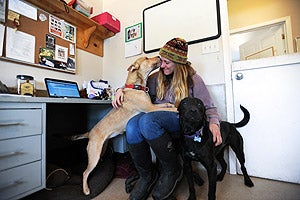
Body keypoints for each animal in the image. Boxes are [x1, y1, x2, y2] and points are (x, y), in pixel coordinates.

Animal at [71, 56, 177, 195]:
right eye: (146, 58)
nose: (159, 56)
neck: (136, 87)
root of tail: (90, 132)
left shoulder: (152, 106)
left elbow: (165, 105)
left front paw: (172, 104)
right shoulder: (150, 108)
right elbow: (167, 109)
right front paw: (177, 109)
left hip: (101, 151)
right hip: (94, 154)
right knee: (85, 173)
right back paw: (86, 189)